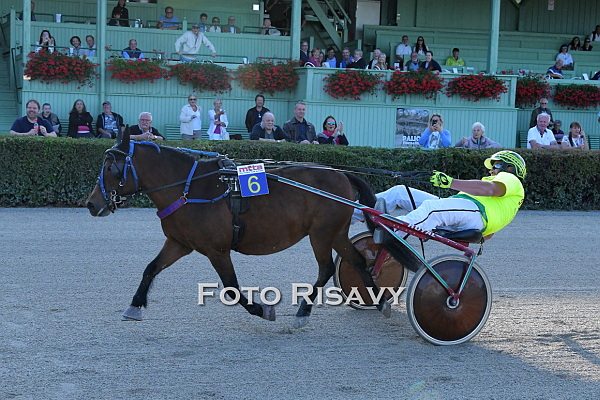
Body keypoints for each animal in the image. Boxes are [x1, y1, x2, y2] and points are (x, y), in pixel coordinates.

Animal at [85, 130, 388, 327]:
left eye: (111, 167)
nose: (91, 203)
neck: (190, 188)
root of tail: (341, 174)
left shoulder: (217, 250)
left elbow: (231, 288)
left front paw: (262, 309)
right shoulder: (179, 243)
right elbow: (151, 268)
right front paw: (134, 305)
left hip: (321, 234)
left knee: (325, 269)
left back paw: (304, 310)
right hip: (336, 233)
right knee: (358, 261)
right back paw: (379, 301)